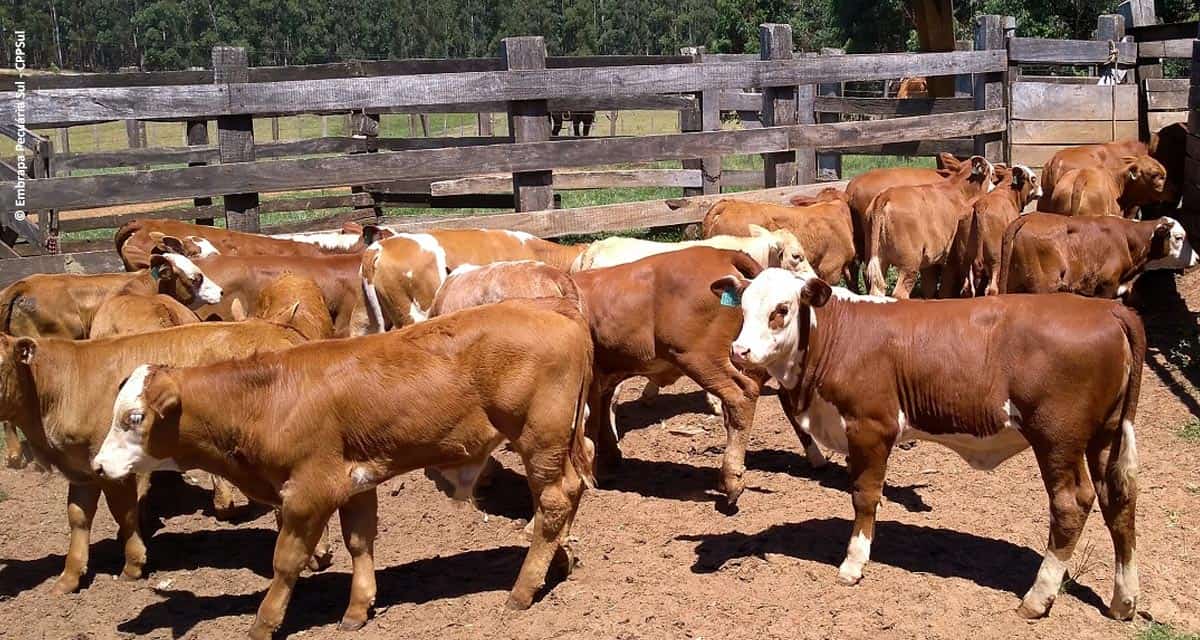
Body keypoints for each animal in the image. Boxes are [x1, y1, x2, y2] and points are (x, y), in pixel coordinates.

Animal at [91, 297, 597, 633]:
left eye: (134, 418)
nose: (97, 465)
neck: (267, 398)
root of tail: (554, 310)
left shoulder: (308, 493)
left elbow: (286, 561)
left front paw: (264, 623)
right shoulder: (356, 483)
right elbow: (359, 543)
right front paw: (357, 609)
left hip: (539, 441)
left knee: (554, 501)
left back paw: (523, 589)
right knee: (568, 495)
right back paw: (557, 563)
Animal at [715, 266, 1147, 619]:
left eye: (782, 309)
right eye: (743, 309)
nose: (739, 350)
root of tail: (1106, 309)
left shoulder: (871, 426)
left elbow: (865, 495)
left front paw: (854, 564)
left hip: (1057, 438)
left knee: (1071, 504)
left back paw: (1037, 598)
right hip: (1105, 435)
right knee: (1118, 500)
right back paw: (1122, 601)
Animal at [868, 154, 998, 296]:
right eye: (992, 174)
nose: (994, 188)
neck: (960, 192)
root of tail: (886, 195)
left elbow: (929, 288)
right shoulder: (951, 260)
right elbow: (945, 291)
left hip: (880, 260)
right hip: (909, 264)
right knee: (900, 292)